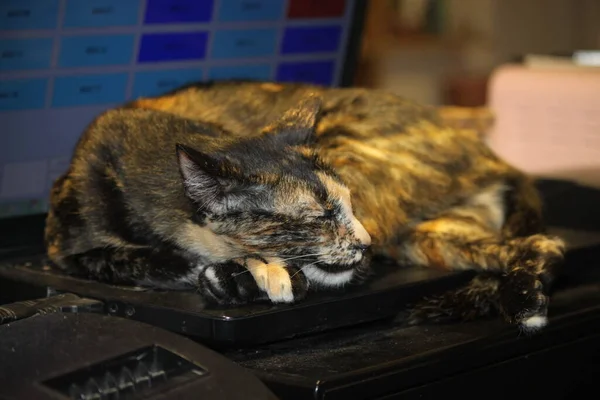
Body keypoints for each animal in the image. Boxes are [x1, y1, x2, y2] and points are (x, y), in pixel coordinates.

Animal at [44, 79, 564, 332]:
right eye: (318, 216)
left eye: (346, 207)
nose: (363, 240)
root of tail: (489, 154)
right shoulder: (62, 249)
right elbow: (111, 259)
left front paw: (247, 275)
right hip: (426, 237)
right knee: (538, 243)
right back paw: (526, 301)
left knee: (541, 243)